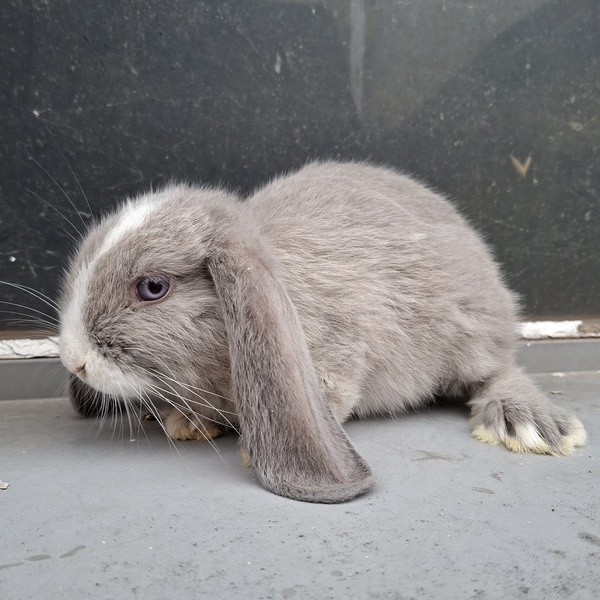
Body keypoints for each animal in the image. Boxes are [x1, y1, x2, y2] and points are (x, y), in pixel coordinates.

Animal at [59, 161, 587, 503]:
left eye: (153, 287)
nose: (74, 360)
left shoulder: (337, 360)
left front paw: (247, 450)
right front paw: (187, 423)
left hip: (469, 334)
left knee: (496, 373)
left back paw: (530, 424)